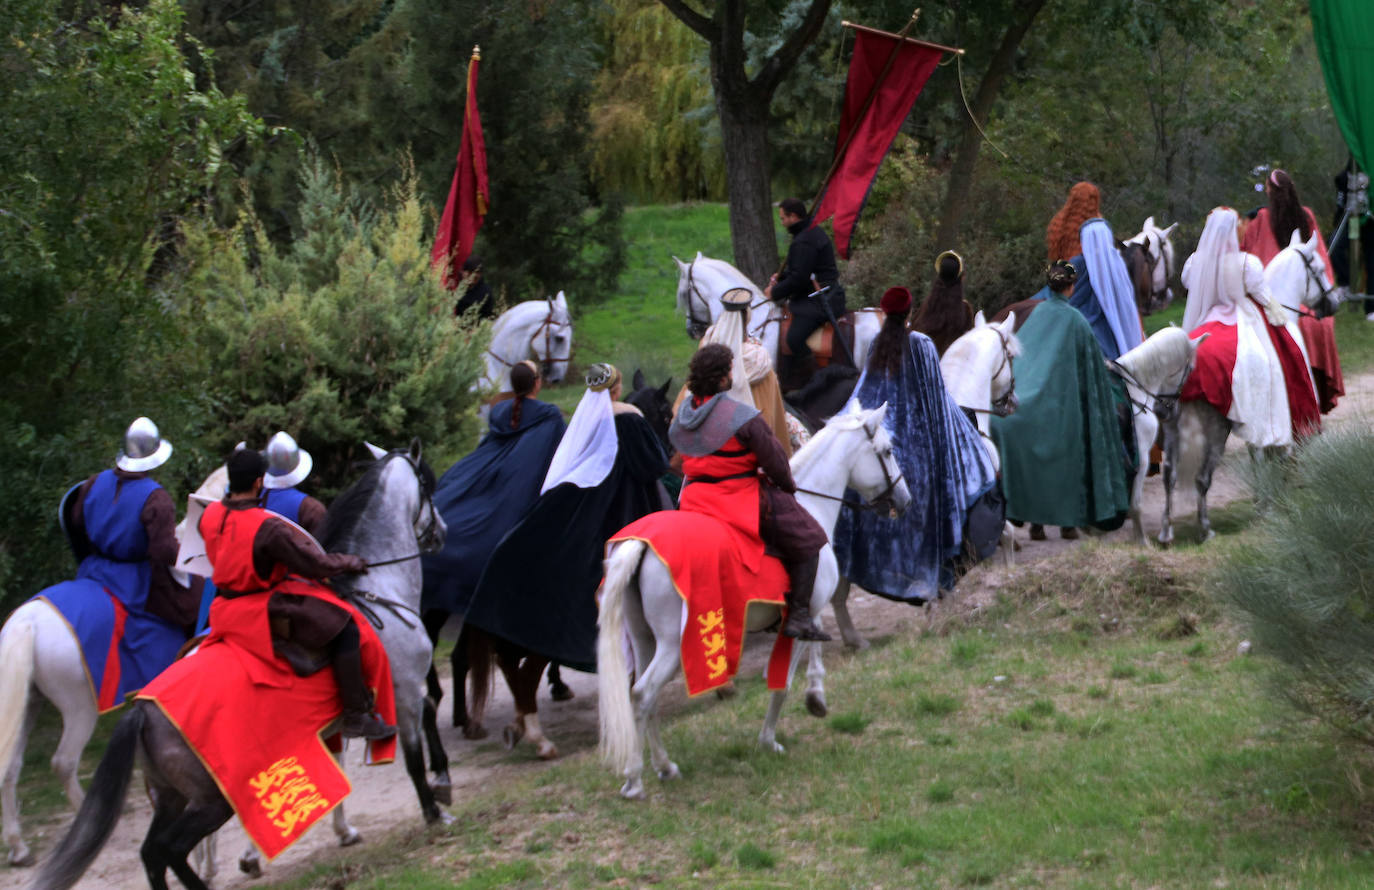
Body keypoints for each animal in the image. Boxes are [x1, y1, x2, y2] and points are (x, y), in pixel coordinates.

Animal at [593, 403, 906, 802]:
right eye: (887, 451)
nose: (904, 500)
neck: (810, 501)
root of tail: (640, 544)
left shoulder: (803, 614)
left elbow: (806, 655)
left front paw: (807, 703)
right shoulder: (802, 614)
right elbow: (786, 679)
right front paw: (780, 730)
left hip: (644, 638)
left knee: (646, 700)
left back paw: (664, 766)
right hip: (672, 645)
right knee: (643, 693)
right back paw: (635, 778)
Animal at [1110, 326, 1209, 546]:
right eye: (1191, 369)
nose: (1166, 411)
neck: (1135, 389)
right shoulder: (1141, 457)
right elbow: (1135, 504)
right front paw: (1142, 541)